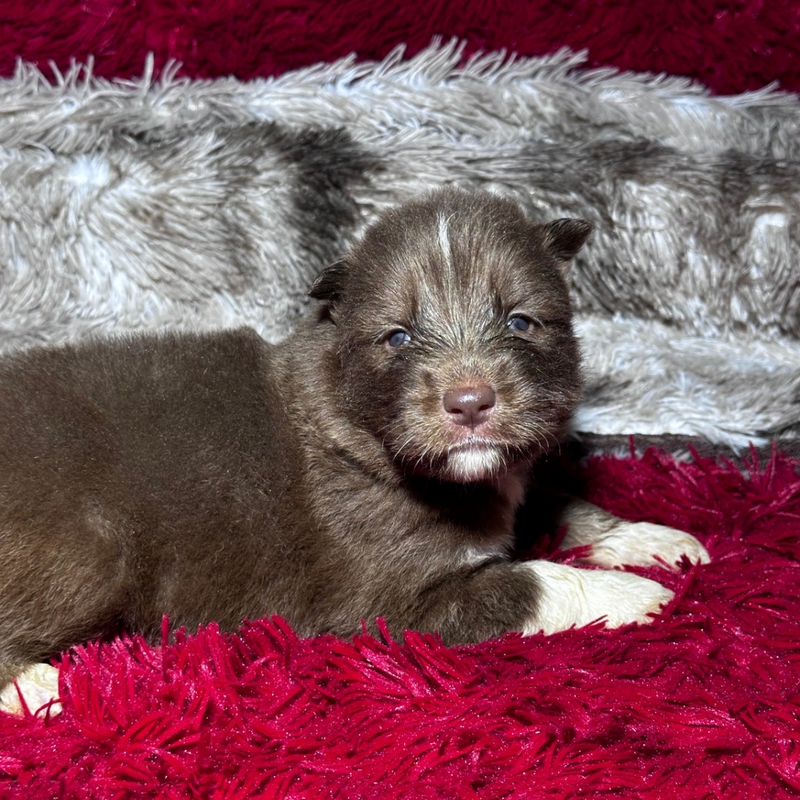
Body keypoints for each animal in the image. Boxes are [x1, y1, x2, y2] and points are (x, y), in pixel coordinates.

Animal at [0, 191, 708, 716]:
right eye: (397, 337)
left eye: (519, 321)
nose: (470, 402)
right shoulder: (390, 598)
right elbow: (529, 580)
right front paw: (634, 594)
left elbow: (558, 502)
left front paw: (654, 539)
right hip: (88, 548)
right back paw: (40, 685)